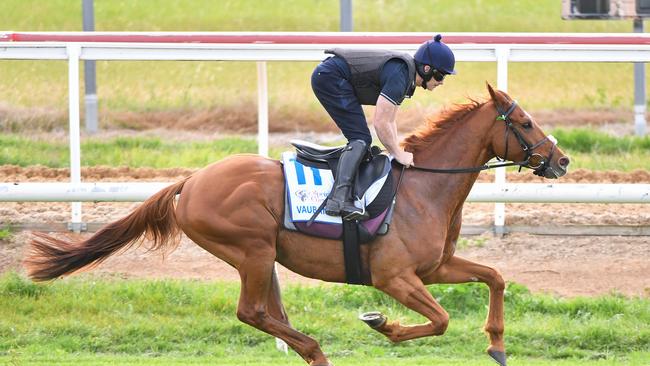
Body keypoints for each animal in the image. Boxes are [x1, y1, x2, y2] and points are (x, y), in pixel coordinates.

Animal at [25, 83, 568, 366]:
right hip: (251, 249)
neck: (422, 187)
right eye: (524, 123)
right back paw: (316, 350)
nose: (561, 160)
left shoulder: (434, 267)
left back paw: (308, 350)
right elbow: (439, 320)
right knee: (252, 312)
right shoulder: (393, 277)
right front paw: (383, 324)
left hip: (263, 256)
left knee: (268, 313)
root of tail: (191, 180)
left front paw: (497, 344)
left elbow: (494, 277)